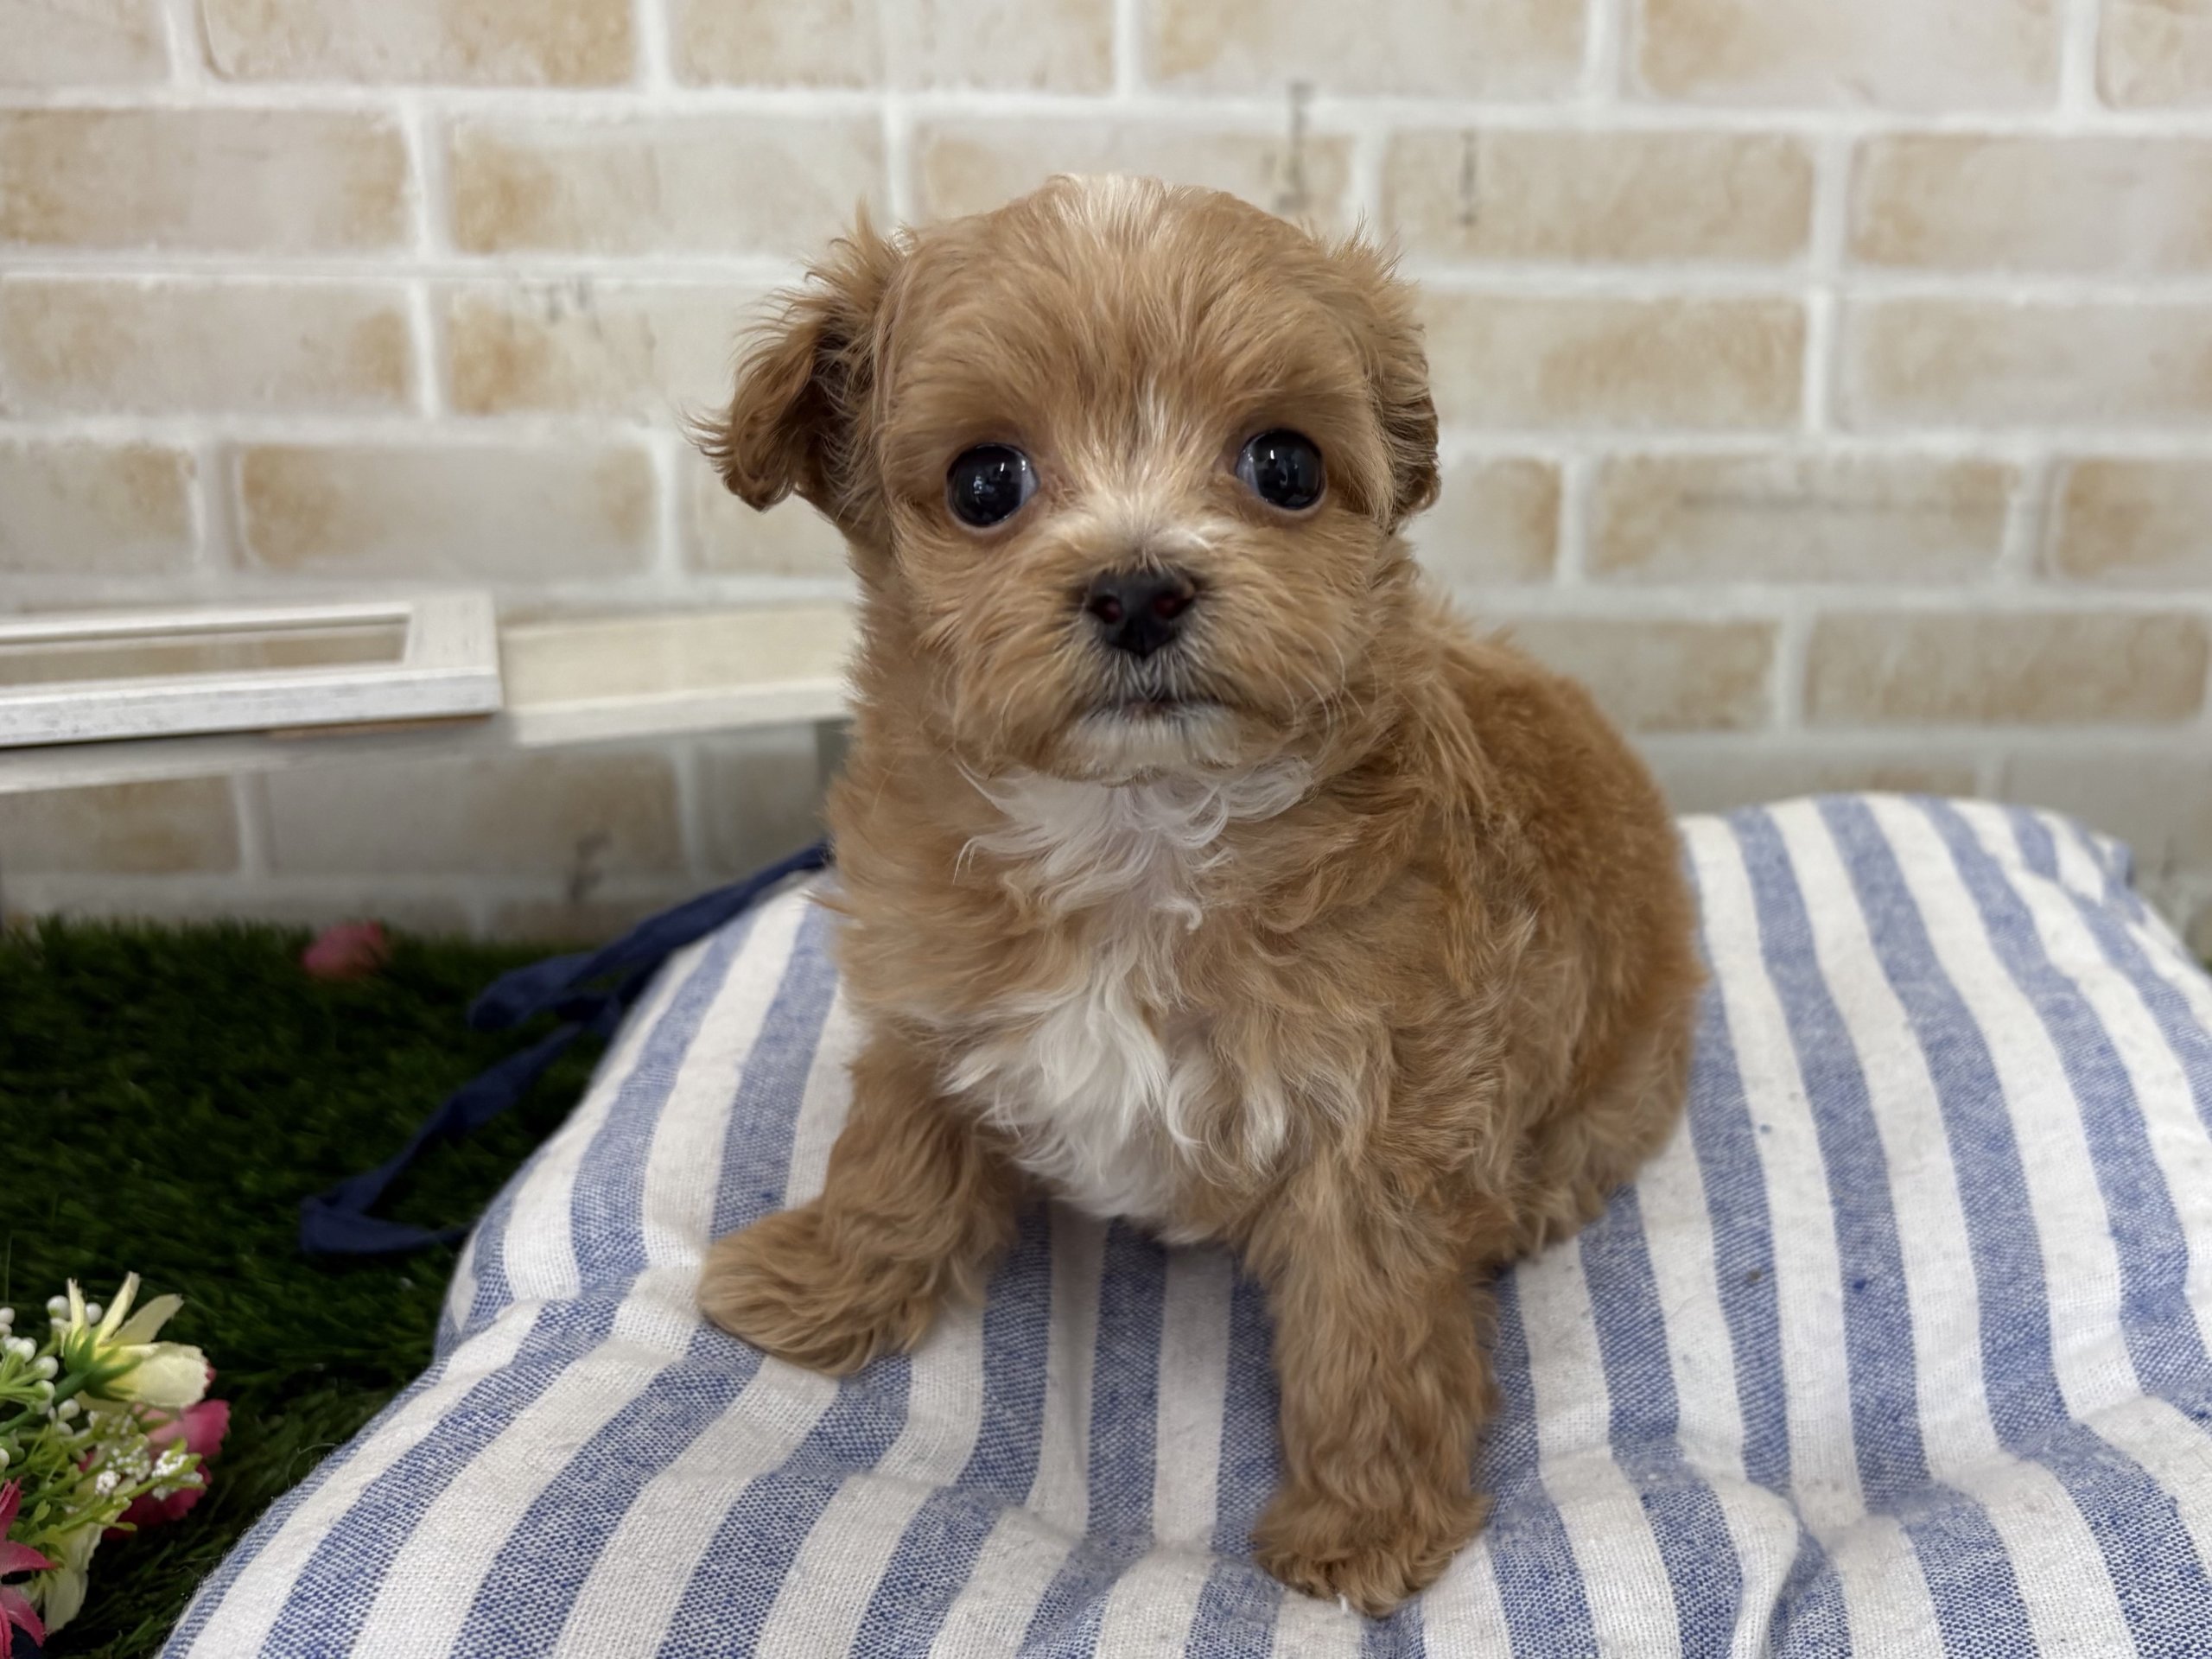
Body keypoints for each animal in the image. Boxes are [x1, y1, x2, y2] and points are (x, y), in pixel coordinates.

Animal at [694, 175, 1702, 1615]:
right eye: (986, 482)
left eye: (1284, 467)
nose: (1138, 586)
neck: (1142, 833)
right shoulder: (931, 996)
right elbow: (895, 1149)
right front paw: (826, 1279)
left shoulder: (1383, 1121)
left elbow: (1371, 1331)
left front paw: (1364, 1521)